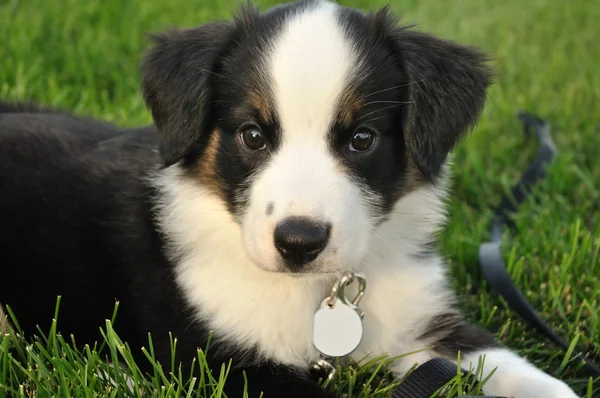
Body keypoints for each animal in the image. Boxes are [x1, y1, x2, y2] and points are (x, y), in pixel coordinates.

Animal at [0, 0, 580, 398]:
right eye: (252, 135)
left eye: (362, 138)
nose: (299, 243)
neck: (317, 291)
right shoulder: (220, 361)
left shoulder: (425, 325)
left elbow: (521, 370)